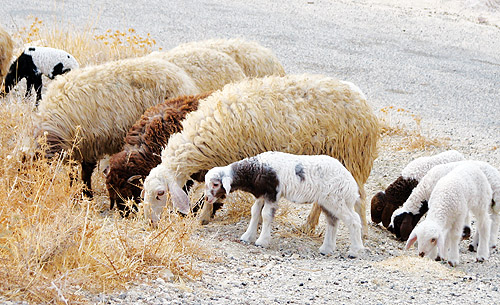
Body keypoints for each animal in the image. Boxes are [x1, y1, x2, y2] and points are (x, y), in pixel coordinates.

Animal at [34, 55, 199, 196]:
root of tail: (183, 77)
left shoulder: (89, 144)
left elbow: (85, 172)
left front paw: (86, 194)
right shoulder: (78, 148)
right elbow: (74, 173)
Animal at [142, 73, 378, 230]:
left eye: (160, 194)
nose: (149, 223)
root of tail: (363, 100)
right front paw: (204, 217)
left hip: (350, 157)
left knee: (360, 196)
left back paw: (362, 232)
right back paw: (309, 226)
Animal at [205, 151, 366, 258]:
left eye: (215, 184)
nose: (207, 198)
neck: (256, 168)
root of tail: (351, 183)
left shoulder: (272, 194)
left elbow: (265, 215)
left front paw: (261, 241)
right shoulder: (262, 194)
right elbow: (255, 212)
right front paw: (247, 236)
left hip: (337, 199)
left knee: (353, 220)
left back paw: (355, 250)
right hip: (327, 201)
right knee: (333, 221)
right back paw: (327, 248)